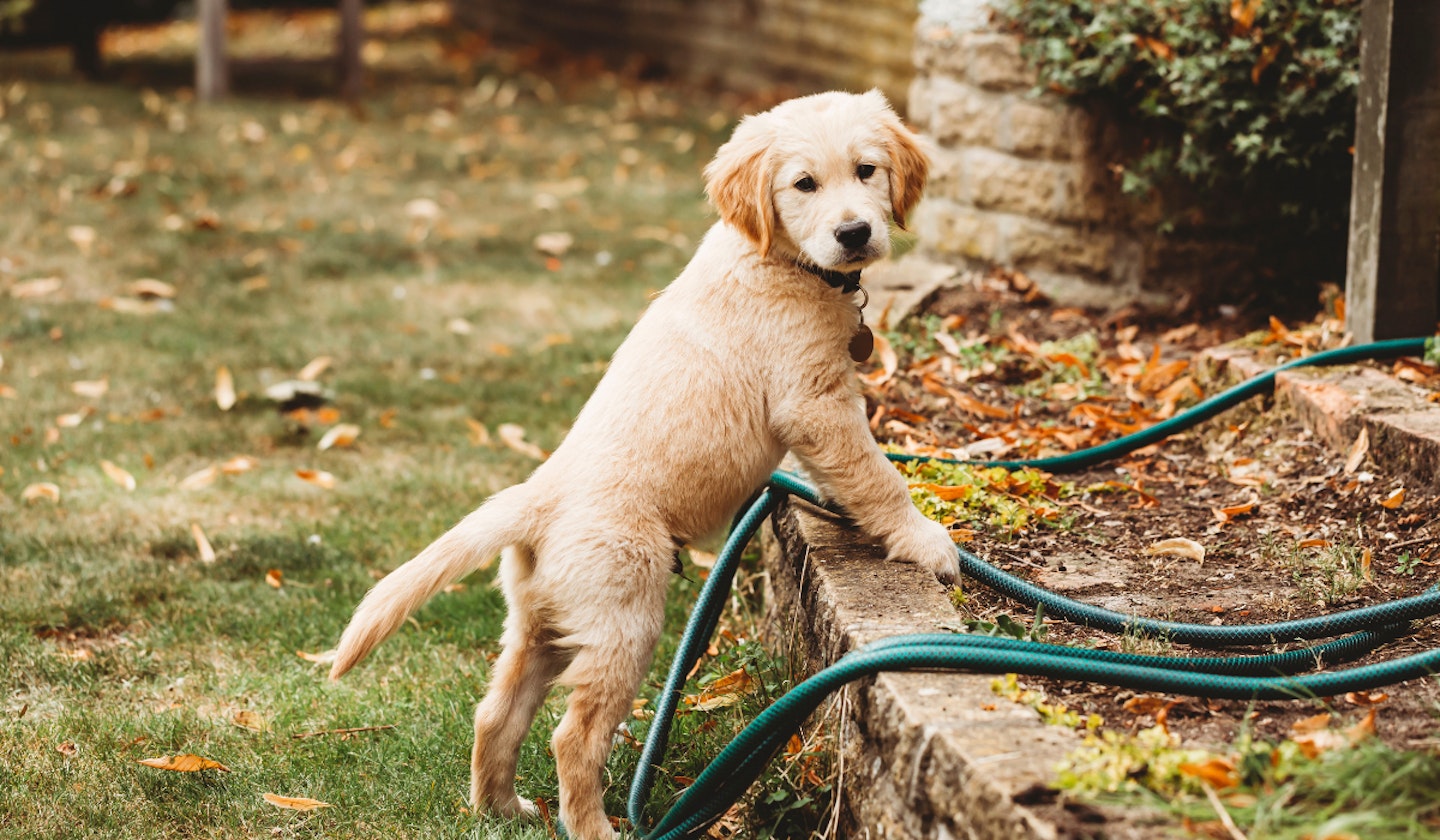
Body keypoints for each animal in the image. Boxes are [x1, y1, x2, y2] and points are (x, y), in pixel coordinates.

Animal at [326, 88, 956, 835]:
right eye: (804, 185)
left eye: (866, 171)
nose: (855, 232)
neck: (775, 257)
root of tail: (537, 499)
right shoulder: (814, 403)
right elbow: (875, 474)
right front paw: (924, 540)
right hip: (625, 617)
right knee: (571, 736)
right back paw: (592, 824)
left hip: (547, 619)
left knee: (496, 711)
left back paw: (503, 806)